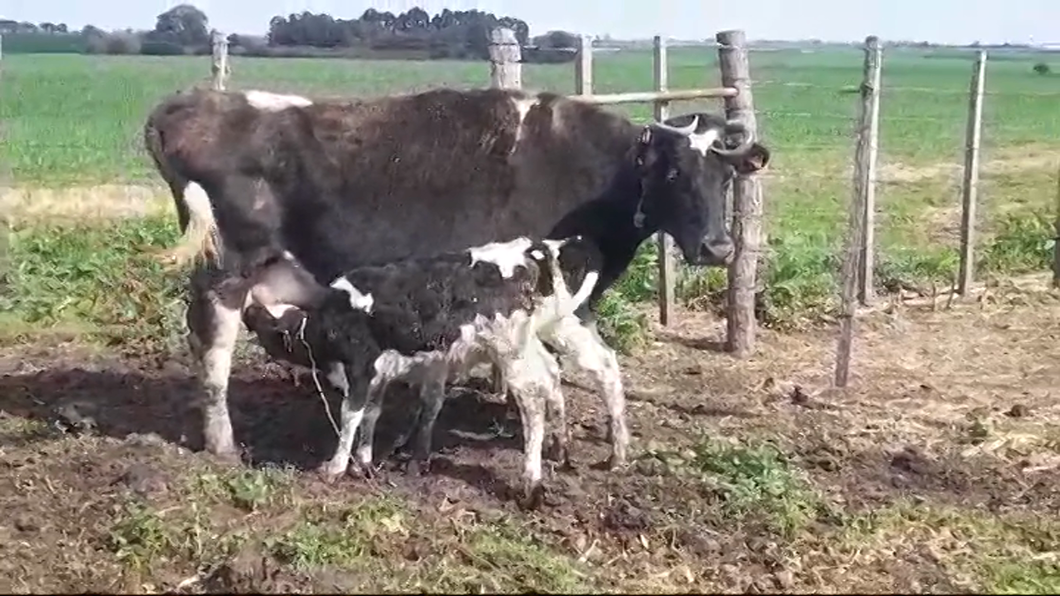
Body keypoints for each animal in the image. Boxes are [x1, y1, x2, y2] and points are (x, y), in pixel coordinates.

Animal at [143, 85, 771, 462]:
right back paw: (221, 443)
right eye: (673, 172)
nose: (718, 247)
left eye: (724, 175)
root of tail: (192, 103)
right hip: (224, 272)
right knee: (213, 353)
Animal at [238, 234, 627, 502]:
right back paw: (577, 451)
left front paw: (335, 468)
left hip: (512, 349)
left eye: (267, 323)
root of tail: (529, 248)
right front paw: (364, 462)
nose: (246, 312)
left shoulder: (361, 369)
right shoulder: (380, 373)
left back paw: (533, 482)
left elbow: (351, 417)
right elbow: (371, 415)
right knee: (568, 372)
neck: (330, 314)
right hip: (540, 336)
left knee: (537, 400)